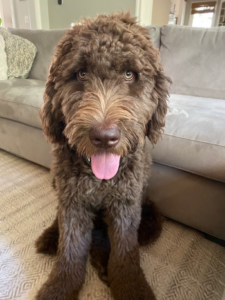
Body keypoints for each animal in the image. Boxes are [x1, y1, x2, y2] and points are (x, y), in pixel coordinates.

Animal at [35, 11, 170, 300]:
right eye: (81, 73)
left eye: (130, 74)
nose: (104, 138)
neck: (99, 179)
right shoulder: (73, 203)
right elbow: (70, 248)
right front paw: (60, 287)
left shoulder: (125, 205)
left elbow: (124, 252)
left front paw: (130, 287)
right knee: (61, 220)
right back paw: (51, 238)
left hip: (147, 212)